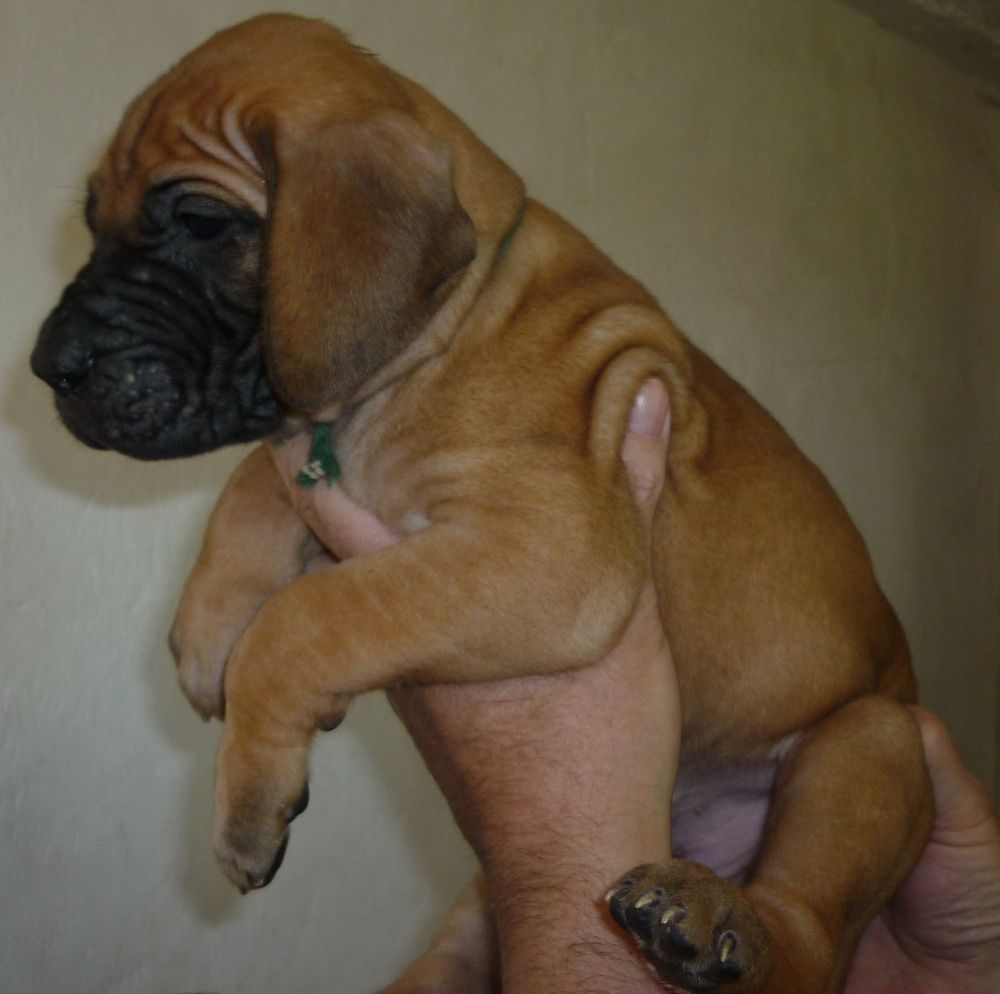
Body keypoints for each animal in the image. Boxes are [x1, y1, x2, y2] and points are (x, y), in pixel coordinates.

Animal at [31, 14, 933, 992]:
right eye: (92, 224)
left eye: (200, 222)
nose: (48, 366)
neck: (445, 334)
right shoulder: (320, 451)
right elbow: (254, 484)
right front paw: (207, 627)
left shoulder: (554, 548)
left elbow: (311, 615)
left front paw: (248, 790)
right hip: (481, 912)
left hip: (870, 745)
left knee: (809, 934)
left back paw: (715, 917)